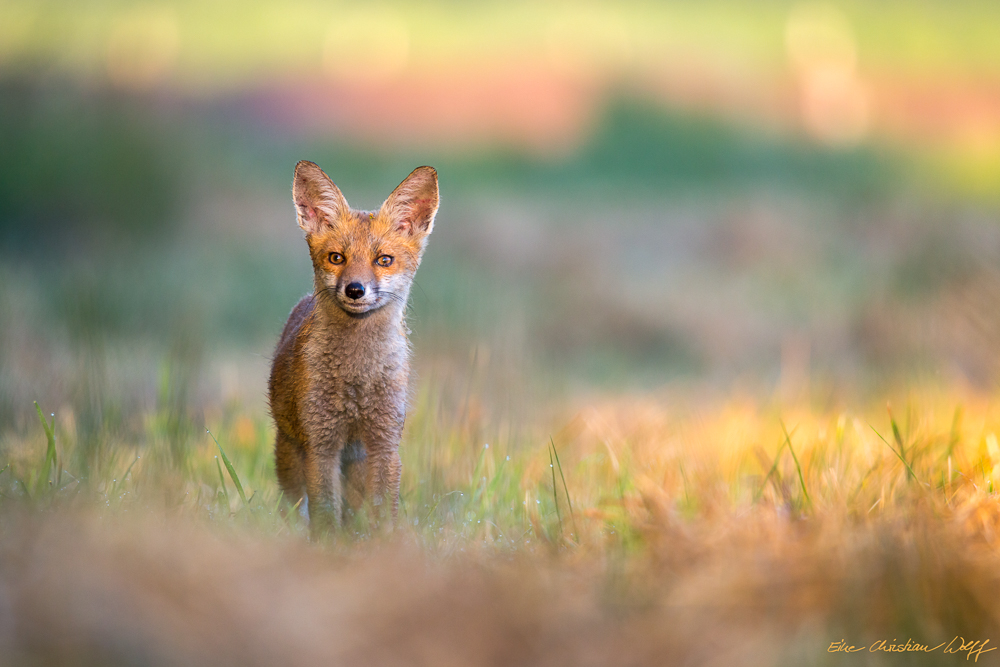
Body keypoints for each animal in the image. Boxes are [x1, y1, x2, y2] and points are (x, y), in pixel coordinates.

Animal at [268, 162, 440, 536]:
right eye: (337, 258)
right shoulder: (320, 445)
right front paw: (327, 547)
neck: (356, 381)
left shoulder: (384, 444)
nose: (355, 289)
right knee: (295, 508)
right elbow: (324, 516)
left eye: (384, 260)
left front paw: (382, 547)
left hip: (356, 466)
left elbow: (383, 516)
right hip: (290, 456)